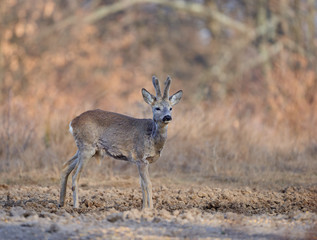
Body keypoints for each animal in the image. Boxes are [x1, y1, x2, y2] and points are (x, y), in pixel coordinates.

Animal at [59, 75, 183, 208]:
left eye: (171, 108)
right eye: (157, 108)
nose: (167, 117)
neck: (152, 139)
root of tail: (72, 122)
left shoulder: (142, 162)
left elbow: (142, 185)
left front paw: (144, 208)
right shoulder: (140, 157)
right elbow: (148, 184)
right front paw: (150, 208)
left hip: (84, 147)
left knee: (65, 166)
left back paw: (61, 203)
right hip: (87, 146)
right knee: (75, 175)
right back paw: (76, 206)